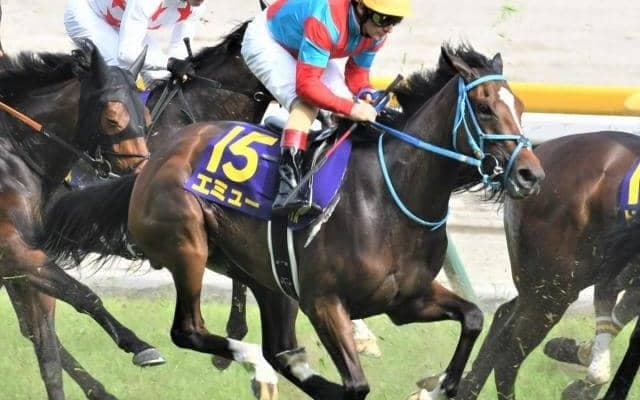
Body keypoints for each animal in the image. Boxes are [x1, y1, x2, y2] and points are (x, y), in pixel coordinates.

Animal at [0, 41, 159, 400]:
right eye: (112, 119)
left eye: (146, 117)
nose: (142, 174)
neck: (14, 150)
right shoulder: (13, 251)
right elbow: (84, 295)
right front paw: (139, 345)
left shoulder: (23, 262)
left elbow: (45, 347)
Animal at [41, 43, 545, 399]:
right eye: (484, 107)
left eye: (519, 105)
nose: (530, 174)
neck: (387, 198)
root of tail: (153, 161)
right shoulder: (324, 301)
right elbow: (357, 384)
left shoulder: (407, 300)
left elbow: (473, 316)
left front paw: (439, 385)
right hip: (187, 246)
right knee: (192, 331)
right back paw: (245, 359)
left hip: (268, 279)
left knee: (279, 348)